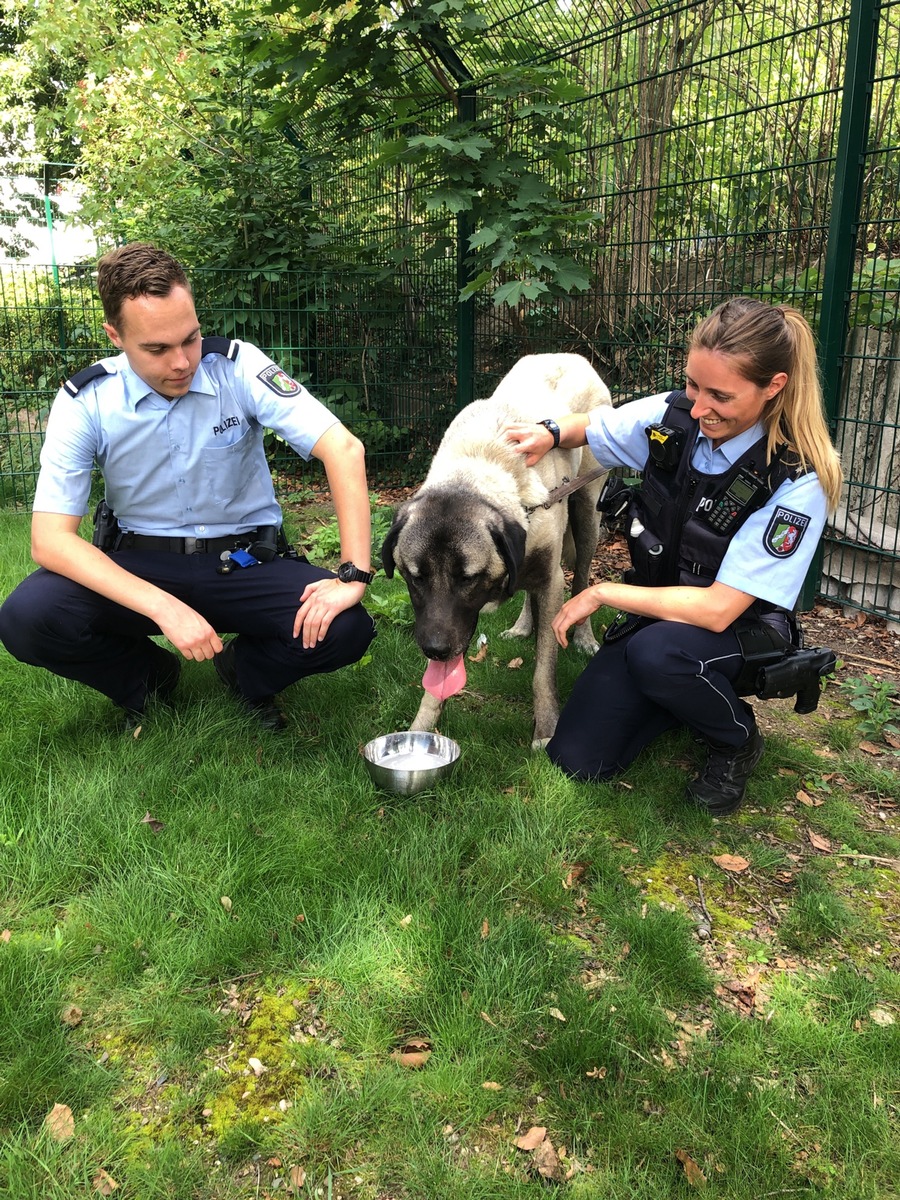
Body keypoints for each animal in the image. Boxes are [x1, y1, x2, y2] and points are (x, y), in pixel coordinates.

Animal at [381, 350, 614, 744]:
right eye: (415, 578)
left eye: (467, 578)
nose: (435, 649)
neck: (474, 472)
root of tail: (570, 356)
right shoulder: (437, 619)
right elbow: (435, 683)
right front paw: (421, 728)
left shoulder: (552, 581)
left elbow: (543, 671)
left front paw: (546, 729)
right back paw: (522, 626)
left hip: (587, 512)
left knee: (582, 576)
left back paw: (583, 636)